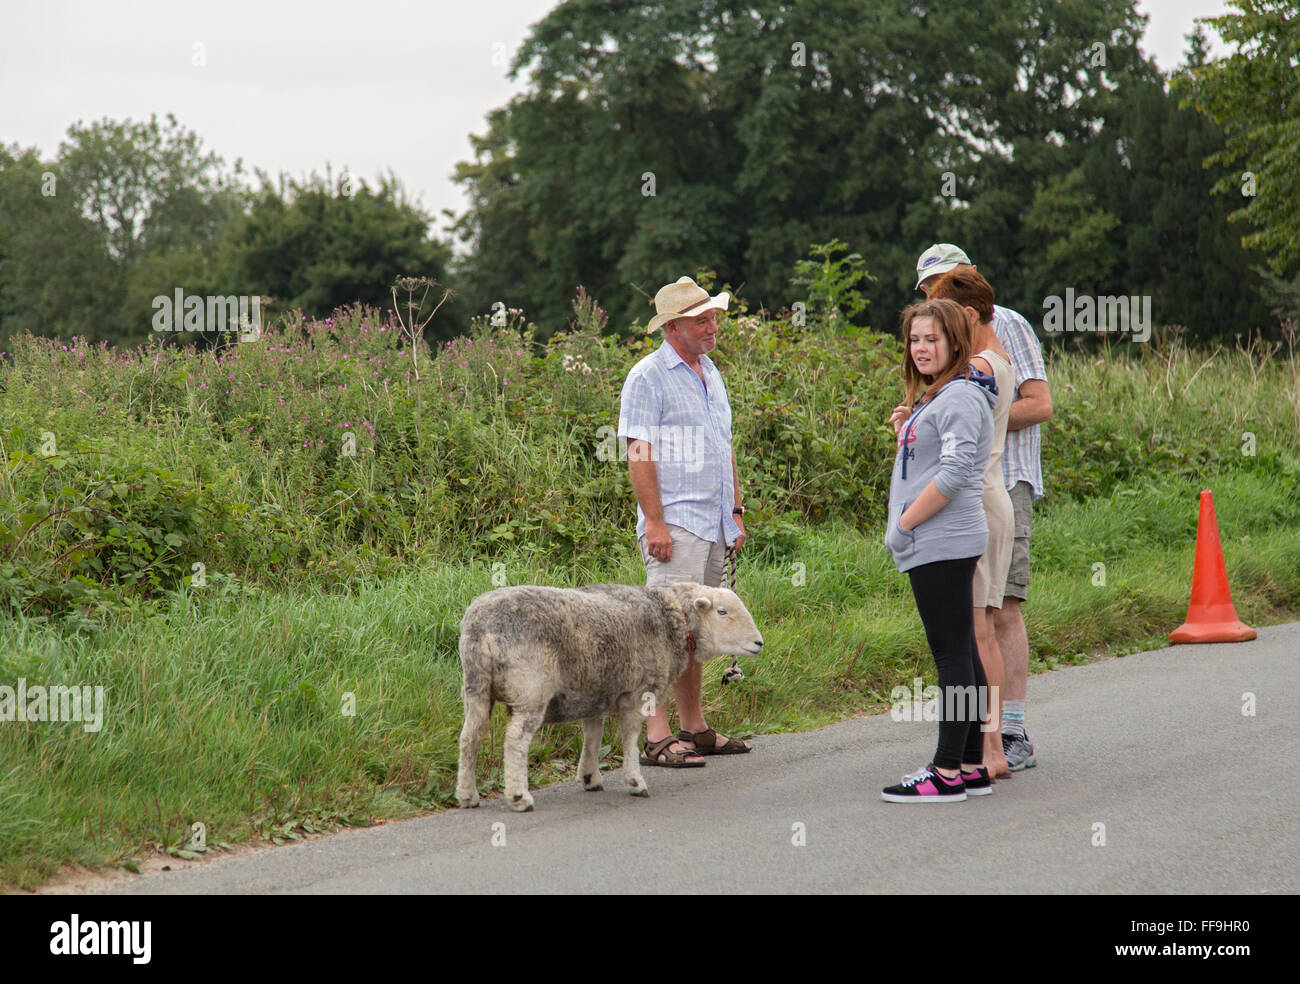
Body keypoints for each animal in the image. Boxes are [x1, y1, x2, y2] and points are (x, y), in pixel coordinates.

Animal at [454, 579, 759, 811]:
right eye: (722, 612)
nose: (759, 642)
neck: (672, 616)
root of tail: (483, 627)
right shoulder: (638, 693)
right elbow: (630, 739)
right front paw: (635, 781)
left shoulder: (594, 694)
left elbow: (592, 736)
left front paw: (590, 778)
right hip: (530, 688)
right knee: (515, 740)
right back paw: (519, 797)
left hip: (476, 687)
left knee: (470, 737)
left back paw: (468, 795)